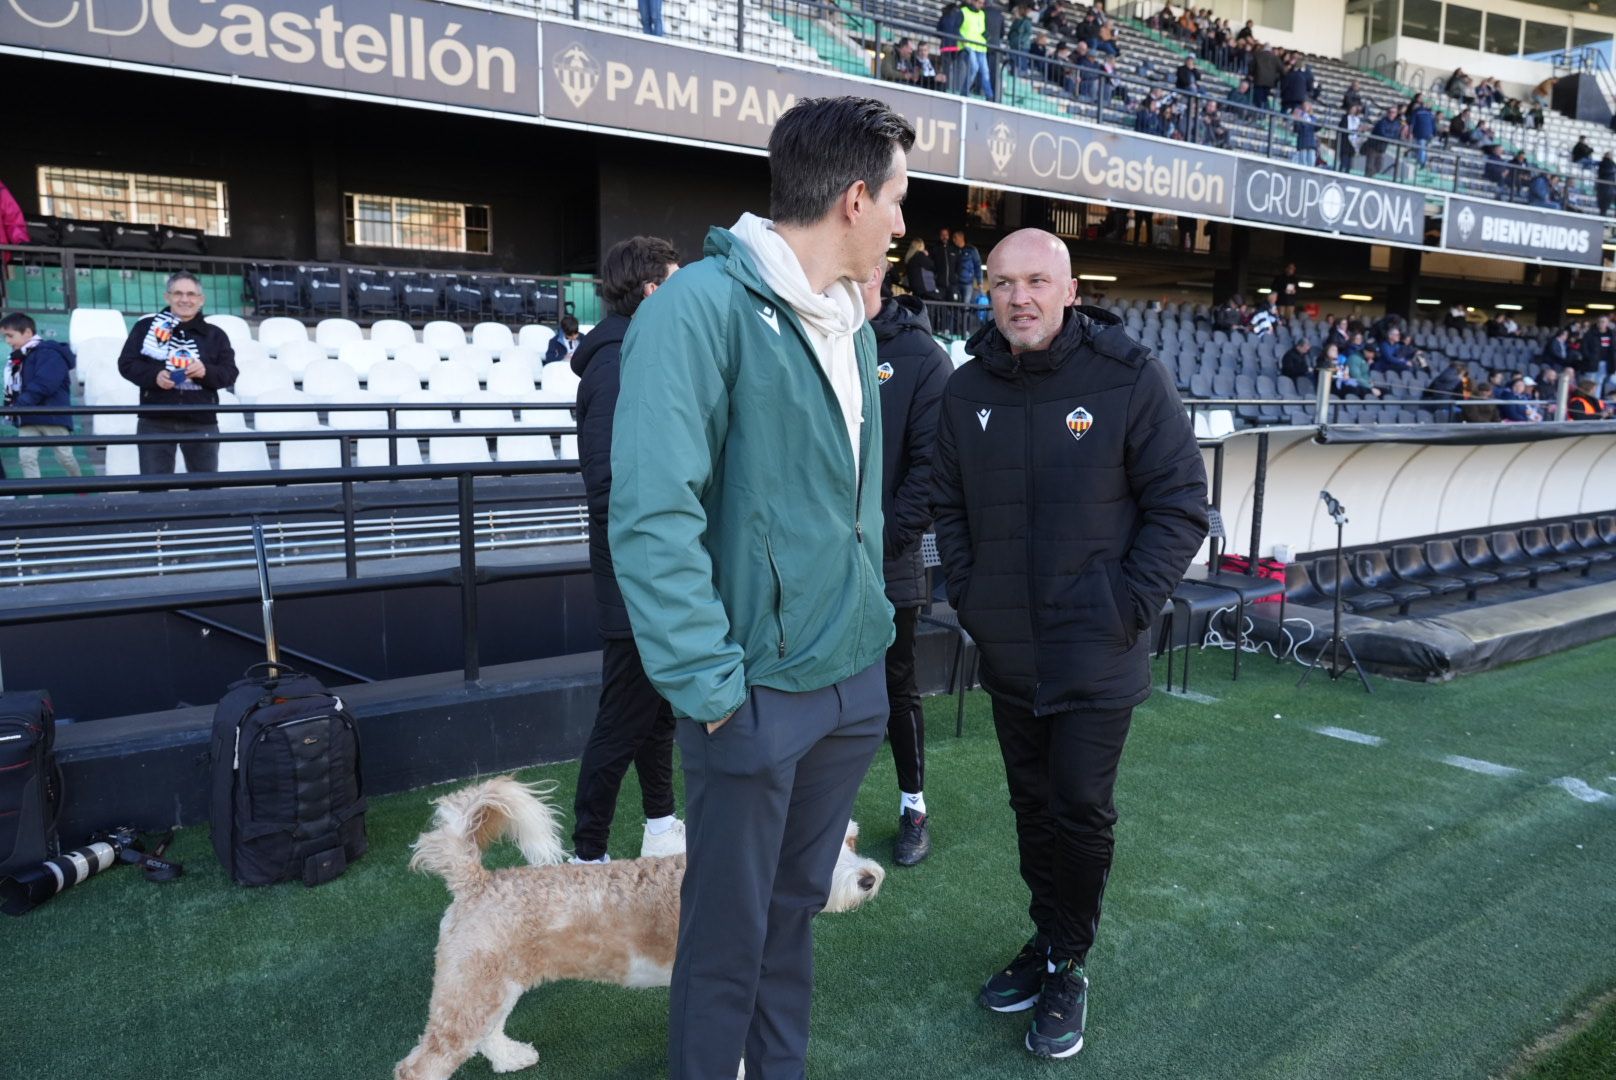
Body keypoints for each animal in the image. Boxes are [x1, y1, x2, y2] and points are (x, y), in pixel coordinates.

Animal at [399, 776, 892, 1080]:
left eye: (851, 839)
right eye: (822, 856)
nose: (869, 878)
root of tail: (476, 880)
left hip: (493, 982)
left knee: (487, 1032)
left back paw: (512, 1056)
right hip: (473, 987)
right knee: (422, 1065)